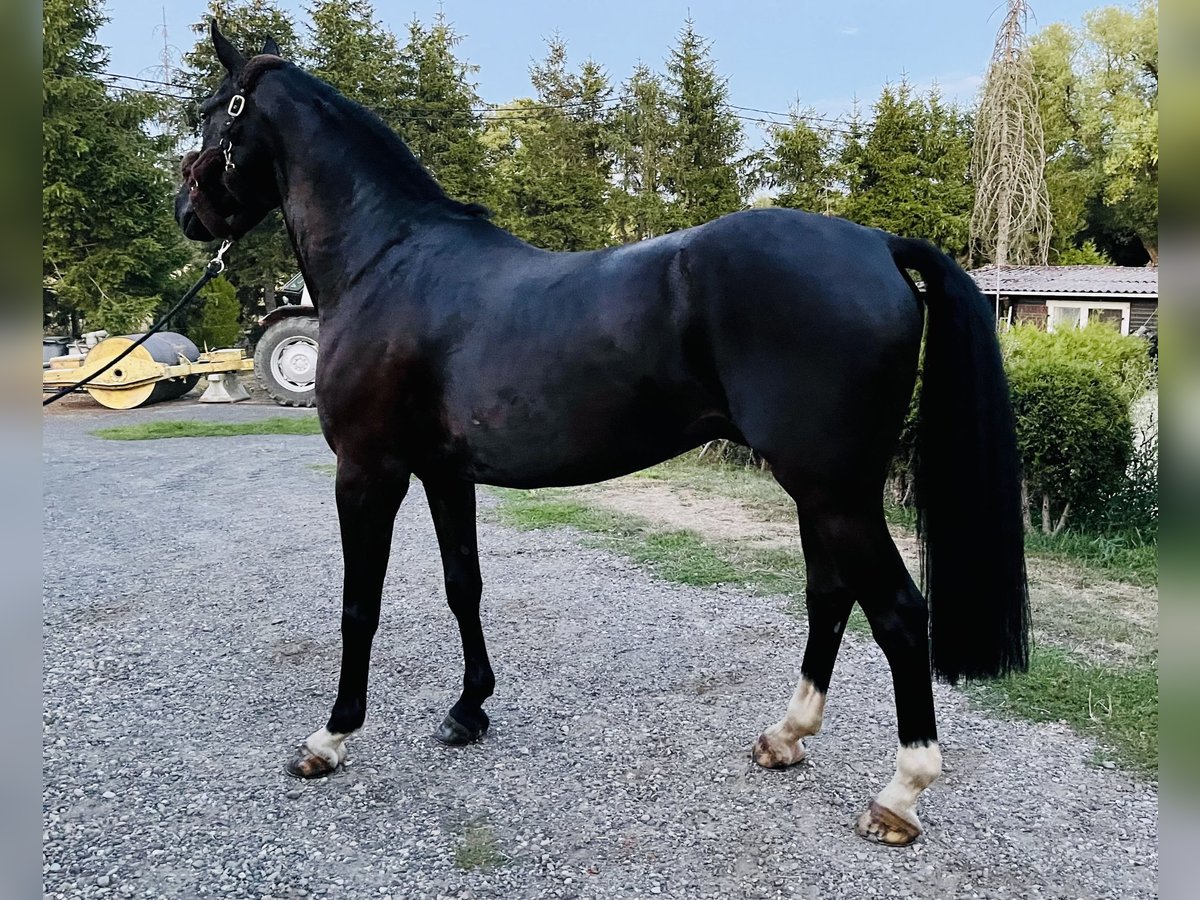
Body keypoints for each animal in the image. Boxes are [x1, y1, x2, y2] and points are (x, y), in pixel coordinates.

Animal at [180, 24, 1032, 849]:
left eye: (213, 112)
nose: (189, 213)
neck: (388, 262)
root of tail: (877, 245)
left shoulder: (368, 471)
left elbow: (360, 606)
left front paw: (329, 739)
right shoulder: (445, 474)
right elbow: (464, 586)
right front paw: (468, 710)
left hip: (834, 490)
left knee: (898, 614)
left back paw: (899, 796)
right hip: (820, 490)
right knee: (830, 597)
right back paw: (785, 736)